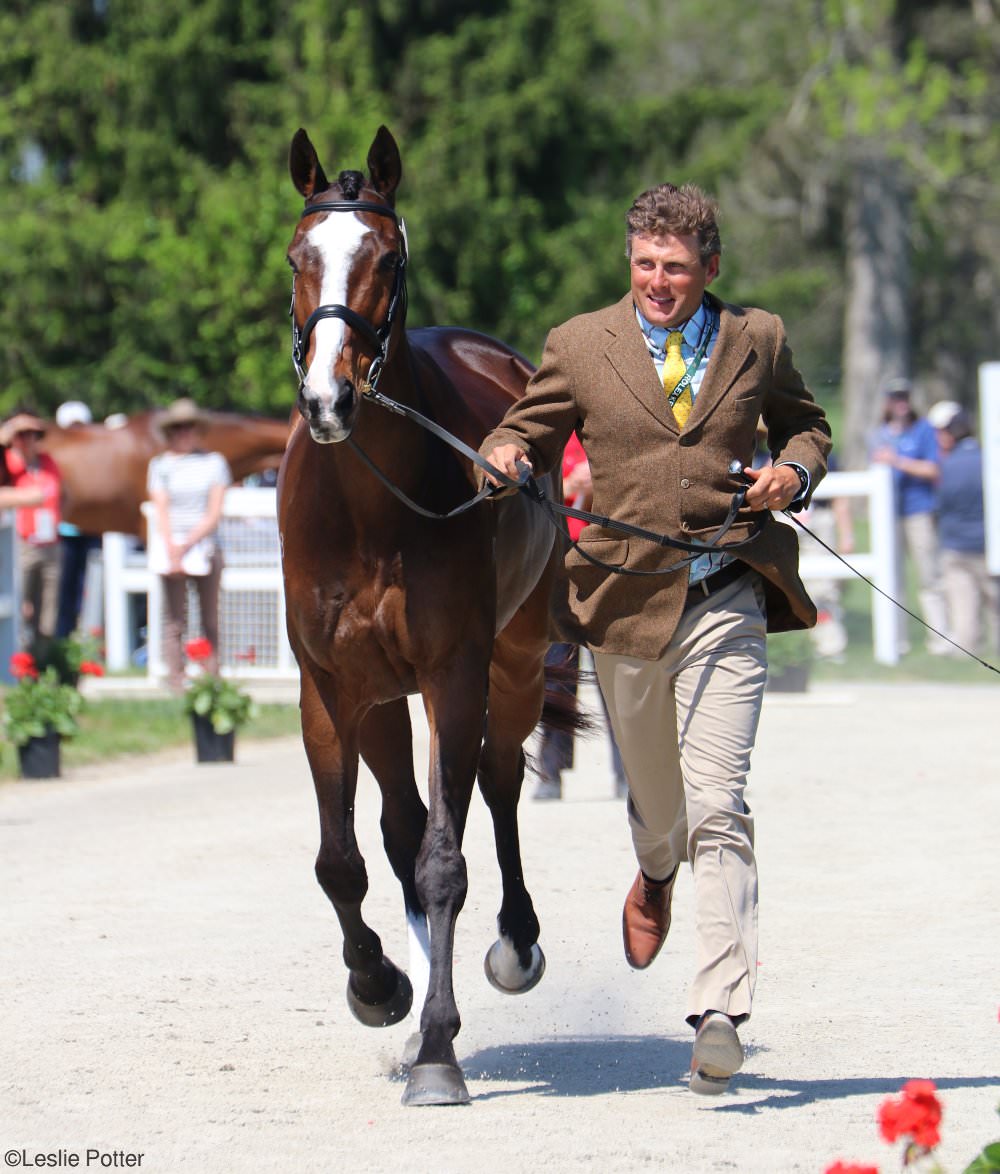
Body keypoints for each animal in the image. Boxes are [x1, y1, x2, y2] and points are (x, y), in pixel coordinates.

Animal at [281, 128, 577, 1108]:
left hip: (512, 666)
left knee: (500, 783)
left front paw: (440, 1052)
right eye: (297, 258)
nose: (329, 398)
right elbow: (344, 860)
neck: (370, 507)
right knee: (402, 827)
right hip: (381, 702)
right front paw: (381, 989)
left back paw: (515, 947)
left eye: (387, 258)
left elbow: (448, 861)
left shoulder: (455, 675)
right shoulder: (331, 690)